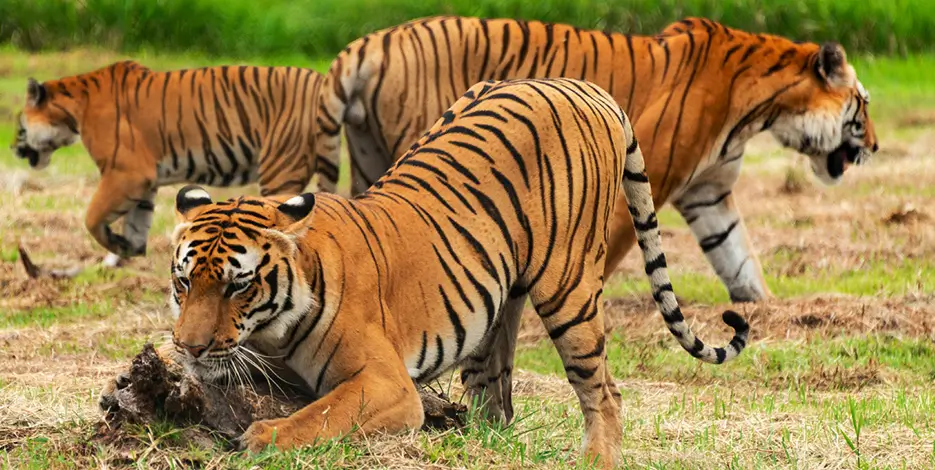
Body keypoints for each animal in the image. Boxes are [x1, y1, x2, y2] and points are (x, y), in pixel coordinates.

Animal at [11, 60, 327, 269]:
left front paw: (117, 247)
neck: (74, 110)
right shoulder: (142, 184)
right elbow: (136, 223)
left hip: (280, 168)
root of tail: (318, 80)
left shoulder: (127, 173)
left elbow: (92, 218)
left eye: (20, 126)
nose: (13, 149)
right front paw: (126, 254)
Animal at [167, 79, 748, 468]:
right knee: (499, 392)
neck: (272, 333)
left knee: (604, 392)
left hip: (570, 287)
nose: (189, 347)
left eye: (238, 286)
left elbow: (322, 414)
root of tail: (585, 86)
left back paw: (595, 459)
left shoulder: (386, 383)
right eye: (184, 282)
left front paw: (259, 438)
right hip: (498, 301)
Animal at [315, 15, 879, 305]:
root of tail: (365, 44)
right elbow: (618, 247)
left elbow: (738, 257)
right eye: (864, 105)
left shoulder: (710, 193)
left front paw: (762, 309)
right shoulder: (654, 170)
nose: (875, 148)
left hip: (369, 158)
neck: (763, 110)